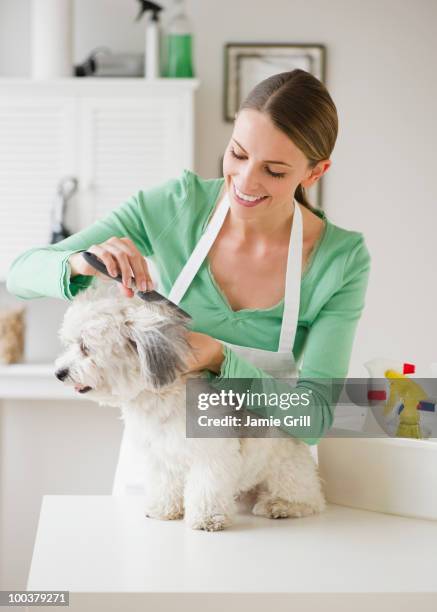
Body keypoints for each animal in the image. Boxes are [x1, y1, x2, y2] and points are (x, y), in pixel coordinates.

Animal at [54, 284, 326, 532]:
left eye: (85, 347)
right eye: (70, 344)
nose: (59, 372)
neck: (161, 398)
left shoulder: (211, 452)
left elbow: (207, 487)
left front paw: (208, 519)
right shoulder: (161, 455)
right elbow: (165, 485)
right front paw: (164, 510)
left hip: (286, 470)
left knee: (310, 500)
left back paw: (280, 505)